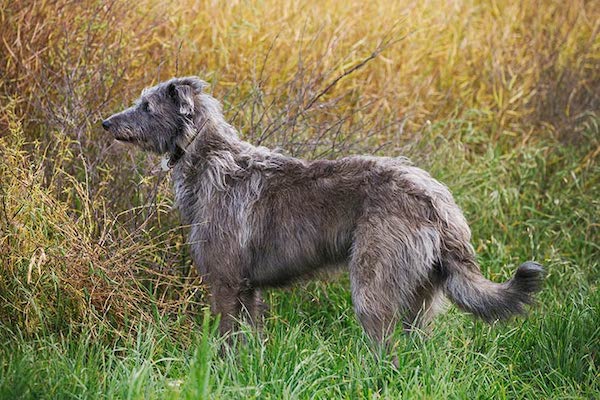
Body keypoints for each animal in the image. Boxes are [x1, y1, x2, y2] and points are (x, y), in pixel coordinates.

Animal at [102, 76, 544, 348]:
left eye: (146, 105)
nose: (105, 123)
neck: (209, 157)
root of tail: (437, 200)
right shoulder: (249, 288)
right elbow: (249, 340)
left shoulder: (226, 282)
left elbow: (226, 339)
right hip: (420, 297)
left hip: (373, 284)